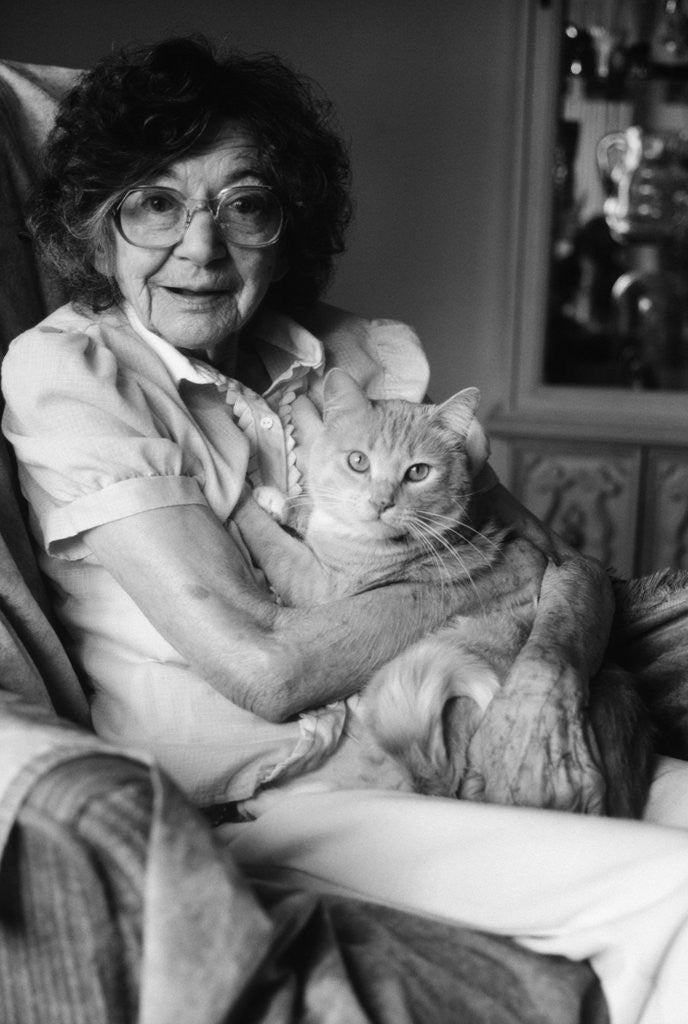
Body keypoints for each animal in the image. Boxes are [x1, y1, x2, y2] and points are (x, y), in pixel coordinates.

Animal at [235, 368, 655, 815]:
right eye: (358, 461)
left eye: (418, 472)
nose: (381, 502)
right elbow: (305, 514)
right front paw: (278, 499)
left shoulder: (318, 586)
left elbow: (274, 542)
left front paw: (239, 495)